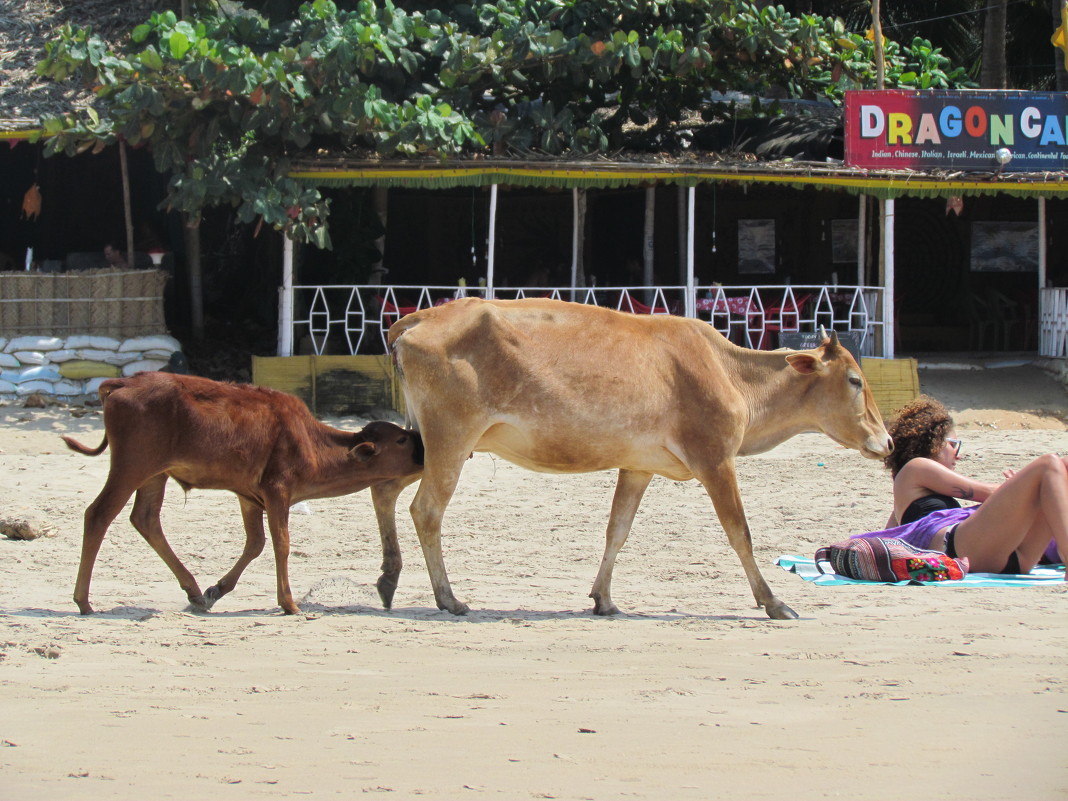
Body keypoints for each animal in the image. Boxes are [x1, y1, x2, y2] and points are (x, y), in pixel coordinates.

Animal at [61, 373, 420, 619]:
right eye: (401, 440)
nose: (423, 446)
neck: (310, 441)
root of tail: (124, 382)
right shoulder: (277, 491)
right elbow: (281, 543)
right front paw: (289, 603)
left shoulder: (249, 497)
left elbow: (256, 543)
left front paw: (215, 591)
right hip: (131, 467)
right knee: (99, 514)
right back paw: (84, 601)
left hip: (154, 475)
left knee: (146, 519)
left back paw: (193, 590)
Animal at [380, 299, 888, 619]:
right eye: (855, 380)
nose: (885, 441)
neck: (731, 372)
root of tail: (417, 318)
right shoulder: (715, 459)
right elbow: (740, 533)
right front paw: (774, 602)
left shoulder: (639, 466)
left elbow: (617, 531)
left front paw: (602, 598)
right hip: (450, 439)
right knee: (426, 510)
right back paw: (448, 598)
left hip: (424, 442)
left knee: (386, 489)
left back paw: (389, 578)